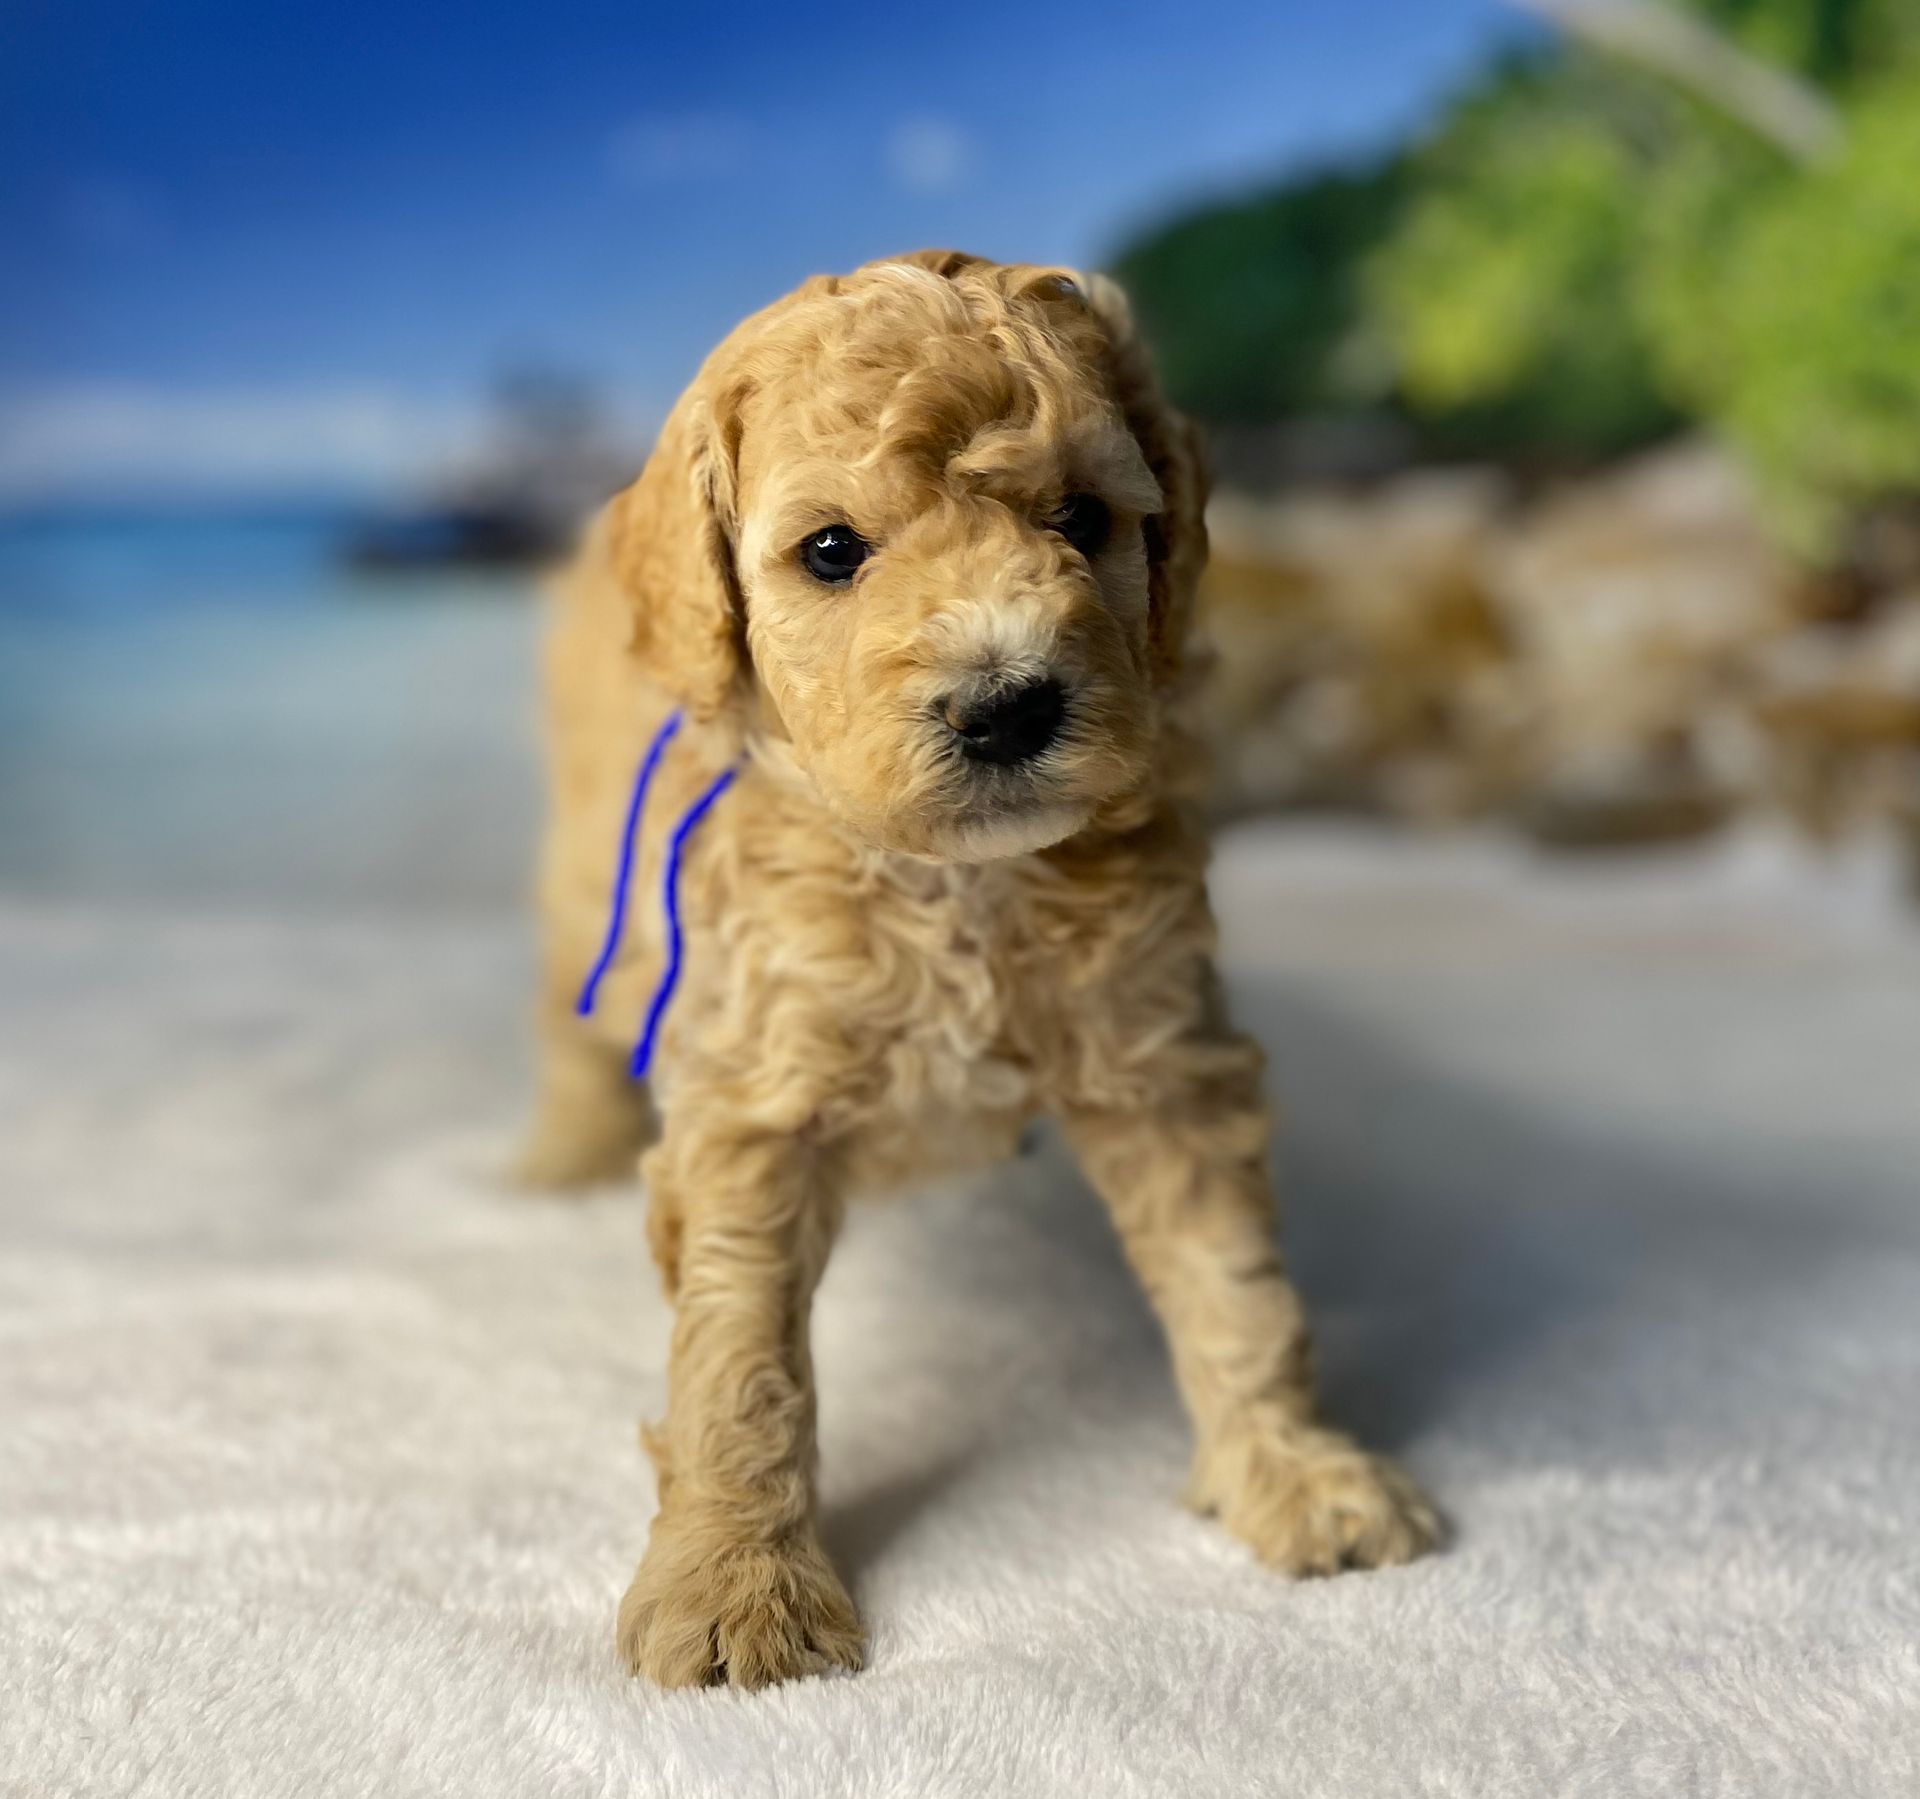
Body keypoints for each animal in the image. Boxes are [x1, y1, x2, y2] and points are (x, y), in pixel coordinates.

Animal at [518, 249, 1436, 1681]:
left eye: (1081, 517)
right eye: (832, 550)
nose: (1007, 703)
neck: (952, 885)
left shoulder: (1159, 1053)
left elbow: (1234, 1282)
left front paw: (1295, 1469)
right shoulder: (754, 1096)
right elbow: (738, 1355)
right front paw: (736, 1583)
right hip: (582, 881)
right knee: (570, 1015)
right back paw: (556, 1157)